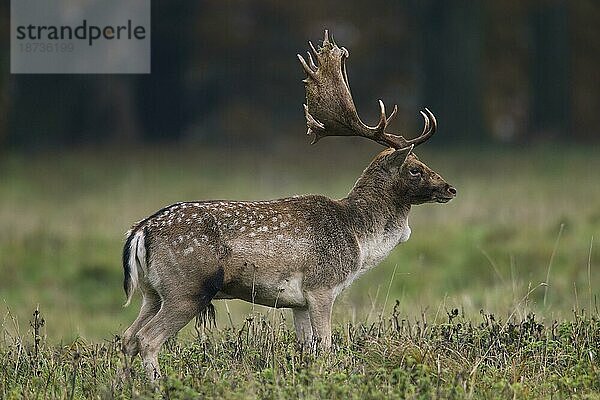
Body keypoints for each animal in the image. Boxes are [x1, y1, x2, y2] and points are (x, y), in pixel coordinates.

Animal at [120, 30, 454, 378]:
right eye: (415, 168)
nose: (450, 188)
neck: (359, 239)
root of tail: (140, 232)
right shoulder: (322, 287)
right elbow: (326, 346)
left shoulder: (299, 302)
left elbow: (308, 348)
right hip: (186, 288)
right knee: (147, 339)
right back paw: (157, 383)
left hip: (151, 291)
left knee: (127, 337)